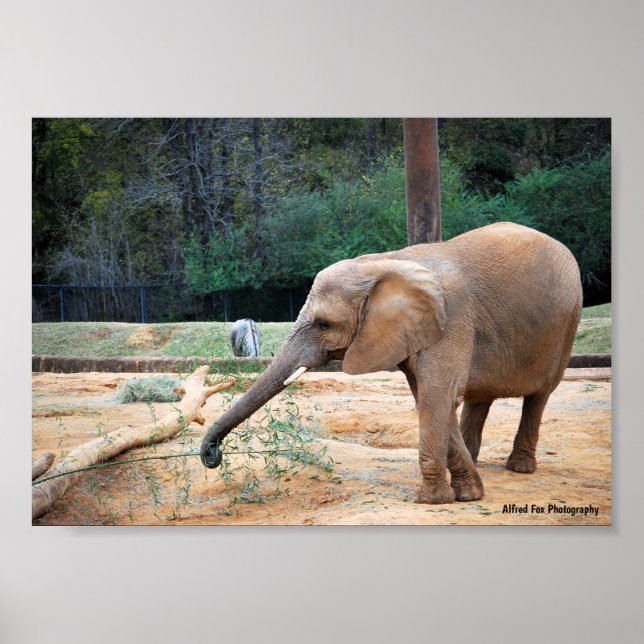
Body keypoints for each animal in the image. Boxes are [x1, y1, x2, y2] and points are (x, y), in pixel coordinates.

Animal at [201, 222, 582, 504]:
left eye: (323, 324)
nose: (212, 457)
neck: (385, 263)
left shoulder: (451, 320)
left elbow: (436, 396)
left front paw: (431, 501)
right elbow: (430, 398)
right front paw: (469, 494)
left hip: (567, 326)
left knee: (540, 396)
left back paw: (520, 467)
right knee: (479, 398)